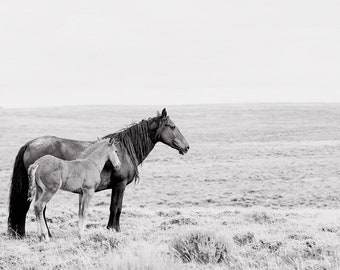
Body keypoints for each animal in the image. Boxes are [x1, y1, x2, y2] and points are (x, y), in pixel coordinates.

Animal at [7, 108, 189, 237]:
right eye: (172, 127)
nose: (186, 147)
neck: (124, 150)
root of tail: (30, 143)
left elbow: (113, 207)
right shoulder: (120, 185)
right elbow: (116, 207)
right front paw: (114, 230)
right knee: (40, 208)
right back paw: (47, 234)